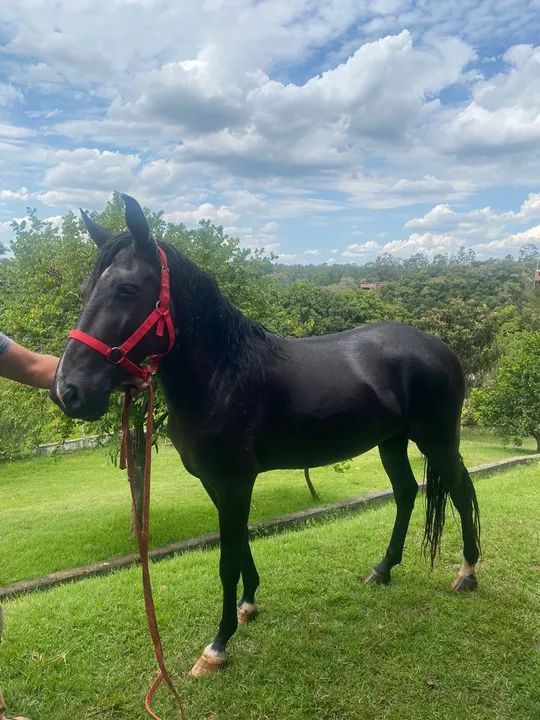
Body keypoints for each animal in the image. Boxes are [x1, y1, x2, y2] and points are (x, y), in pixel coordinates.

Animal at [51, 195, 481, 677]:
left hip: (437, 440)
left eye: (126, 289)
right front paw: (247, 605)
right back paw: (382, 569)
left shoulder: (235, 481)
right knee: (407, 492)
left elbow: (227, 559)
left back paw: (466, 573)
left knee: (460, 491)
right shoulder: (216, 483)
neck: (223, 374)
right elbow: (239, 546)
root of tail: (438, 346)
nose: (68, 391)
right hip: (392, 442)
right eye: (85, 291)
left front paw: (217, 646)